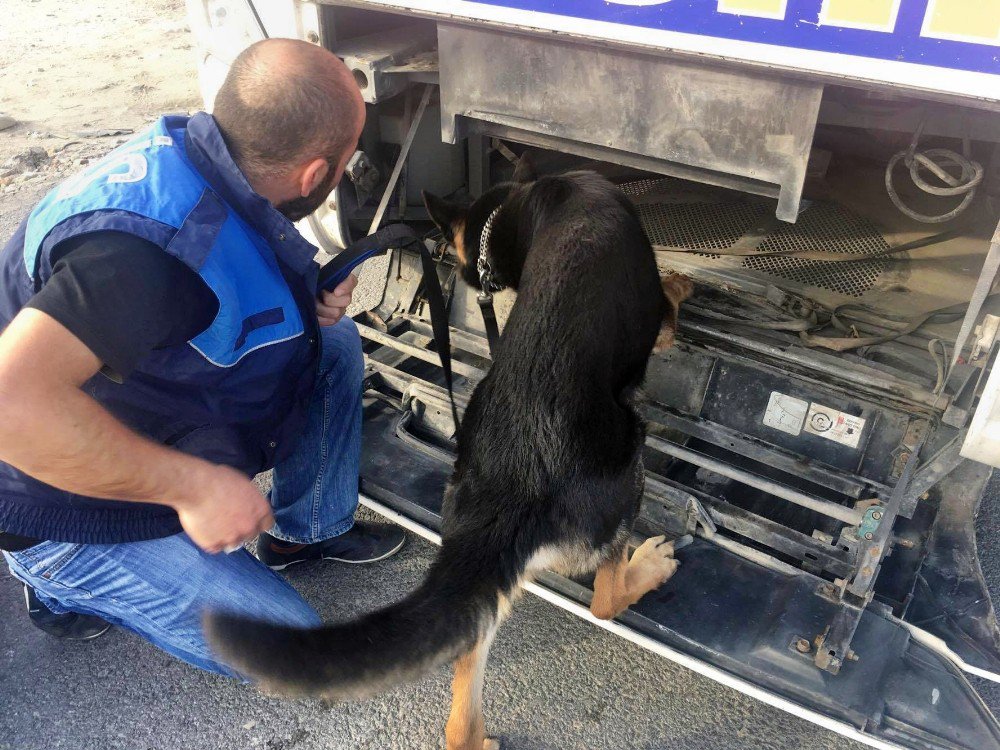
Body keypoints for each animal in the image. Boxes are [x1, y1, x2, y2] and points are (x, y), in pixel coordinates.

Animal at [204, 162, 696, 748]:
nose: (461, 276)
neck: (516, 207)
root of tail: (514, 491)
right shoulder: (655, 323)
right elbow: (669, 309)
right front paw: (682, 283)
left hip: (480, 575)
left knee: (461, 706)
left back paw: (474, 737)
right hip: (627, 466)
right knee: (605, 599)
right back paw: (649, 566)